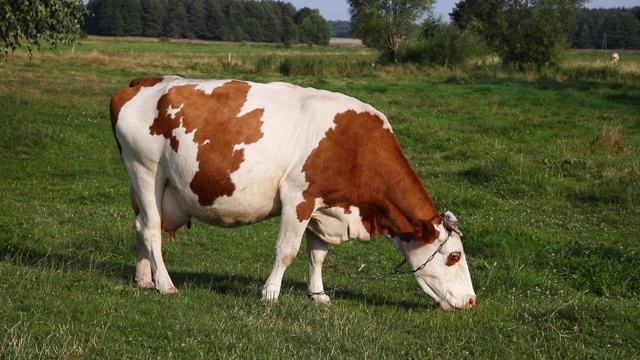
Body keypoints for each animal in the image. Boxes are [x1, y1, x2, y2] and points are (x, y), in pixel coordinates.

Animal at [110, 75, 476, 310]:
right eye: (454, 257)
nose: (472, 300)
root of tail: (144, 82)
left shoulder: (326, 207)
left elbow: (318, 255)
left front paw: (318, 295)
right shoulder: (298, 197)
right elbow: (287, 251)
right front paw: (270, 293)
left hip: (146, 183)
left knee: (140, 225)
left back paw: (144, 279)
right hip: (144, 168)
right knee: (152, 229)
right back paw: (165, 284)